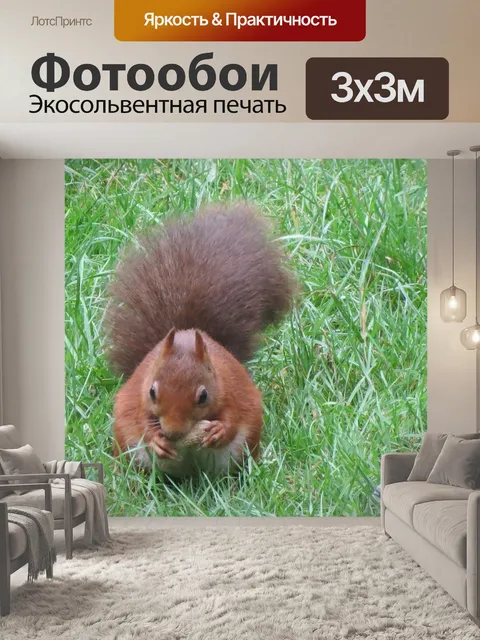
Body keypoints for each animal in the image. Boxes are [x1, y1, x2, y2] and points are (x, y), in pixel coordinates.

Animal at [104, 203, 296, 477]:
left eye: (203, 396)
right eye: (152, 391)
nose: (173, 432)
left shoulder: (232, 388)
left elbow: (235, 415)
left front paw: (219, 430)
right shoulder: (138, 396)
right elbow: (140, 420)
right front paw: (157, 440)